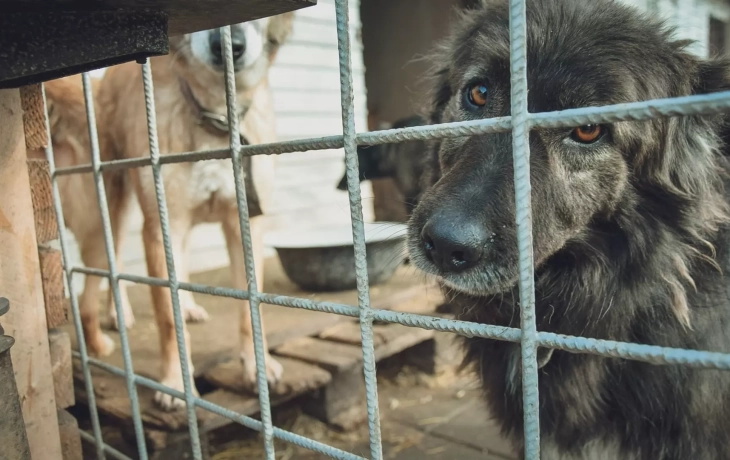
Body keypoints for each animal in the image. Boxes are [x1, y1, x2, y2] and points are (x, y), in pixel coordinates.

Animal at [37, 15, 292, 410]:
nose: (229, 47)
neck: (214, 117)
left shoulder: (245, 225)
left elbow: (251, 309)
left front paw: (257, 367)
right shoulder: (162, 225)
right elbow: (166, 316)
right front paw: (176, 382)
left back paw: (184, 305)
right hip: (110, 211)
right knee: (110, 269)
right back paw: (117, 314)